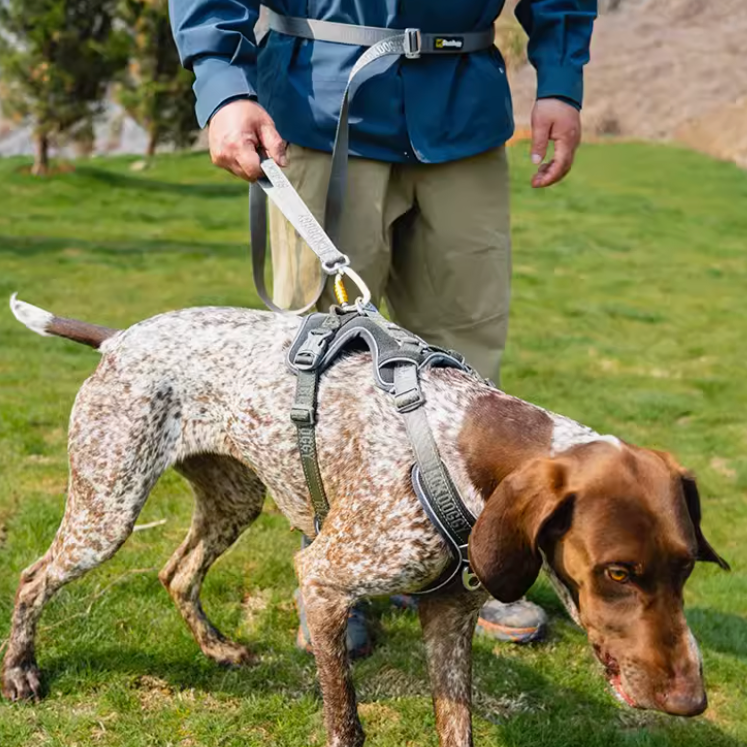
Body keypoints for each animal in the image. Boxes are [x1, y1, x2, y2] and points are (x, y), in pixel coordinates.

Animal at [2, 298, 732, 747]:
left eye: (686, 568)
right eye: (616, 572)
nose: (691, 701)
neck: (461, 442)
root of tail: (120, 338)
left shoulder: (449, 615)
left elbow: (457, 725)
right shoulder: (322, 583)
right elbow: (346, 722)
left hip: (234, 499)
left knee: (176, 572)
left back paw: (219, 649)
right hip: (107, 508)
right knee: (34, 577)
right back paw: (21, 673)